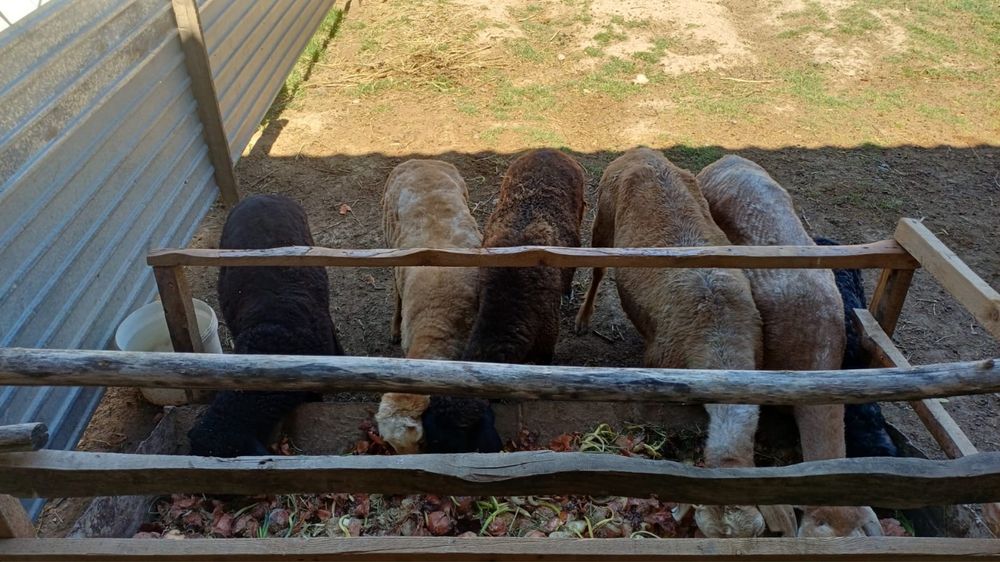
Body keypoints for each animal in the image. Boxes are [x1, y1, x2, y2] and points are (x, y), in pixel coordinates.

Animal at [574, 148, 788, 538]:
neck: (720, 341)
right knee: (597, 270)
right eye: (703, 531)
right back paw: (583, 319)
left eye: (757, 532)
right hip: (604, 216)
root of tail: (640, 150)